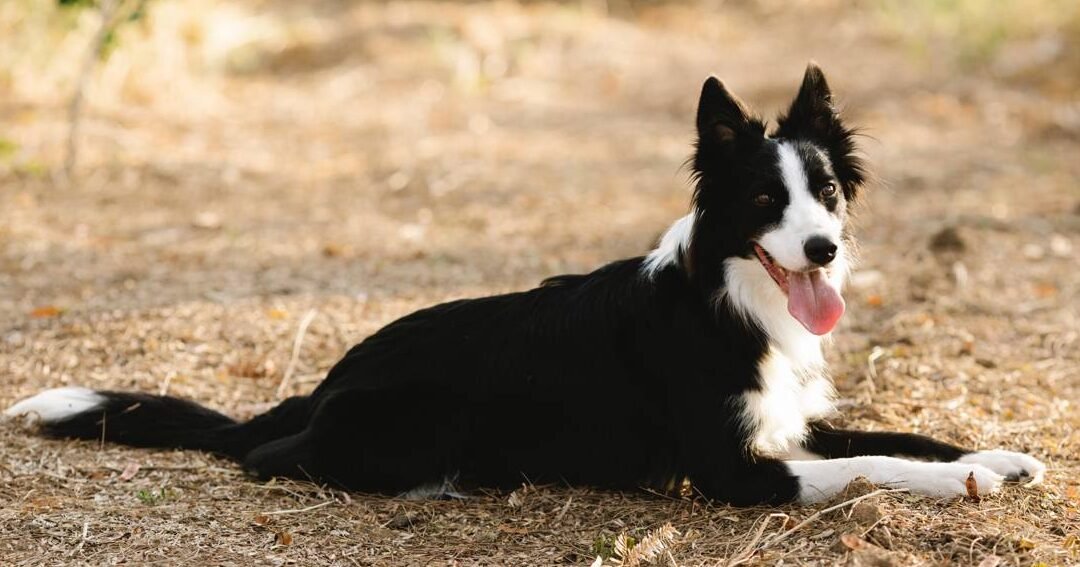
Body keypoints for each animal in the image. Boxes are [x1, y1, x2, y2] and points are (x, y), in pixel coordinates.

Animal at [4, 62, 1041, 503]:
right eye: (761, 199)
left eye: (824, 191)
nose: (822, 249)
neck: (726, 298)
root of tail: (329, 378)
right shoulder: (731, 467)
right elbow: (879, 463)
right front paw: (968, 481)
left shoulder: (786, 419)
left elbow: (902, 434)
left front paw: (998, 454)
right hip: (409, 422)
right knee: (270, 458)